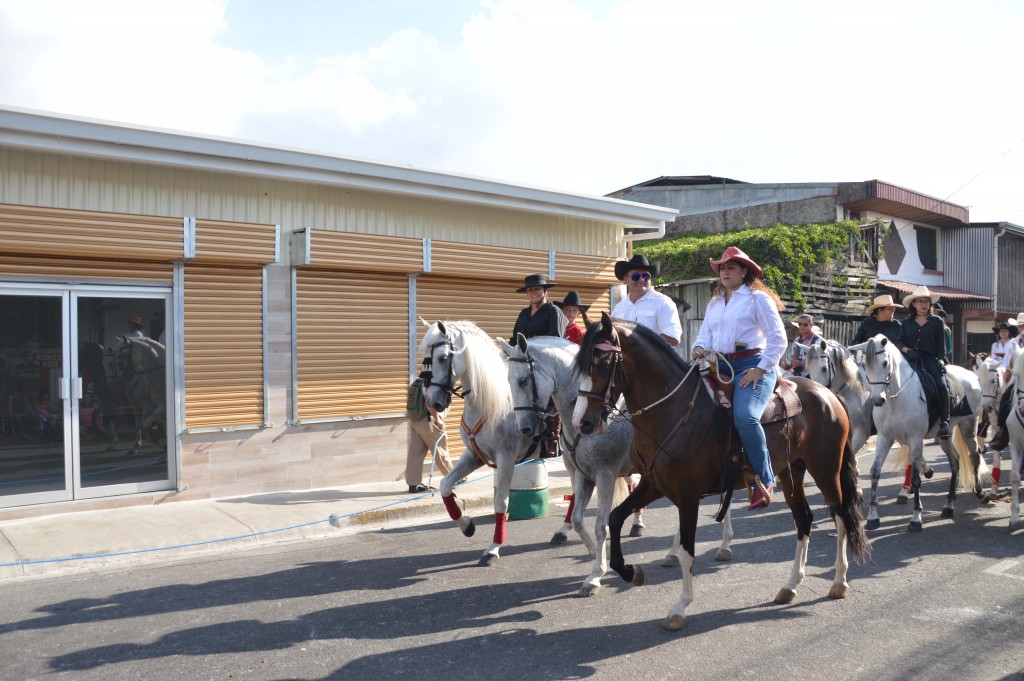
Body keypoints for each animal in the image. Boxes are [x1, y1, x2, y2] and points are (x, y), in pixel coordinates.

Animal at [573, 315, 868, 630]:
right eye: (580, 365)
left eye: (603, 363)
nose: (582, 422)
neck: (675, 411)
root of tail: (829, 394)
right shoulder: (653, 484)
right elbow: (615, 518)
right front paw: (630, 571)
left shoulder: (687, 496)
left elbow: (686, 552)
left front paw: (680, 607)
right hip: (792, 473)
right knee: (804, 519)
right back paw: (790, 586)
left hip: (826, 469)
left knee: (841, 515)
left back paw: (839, 581)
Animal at [843, 333, 987, 532]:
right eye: (866, 365)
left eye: (885, 363)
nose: (877, 400)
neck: (895, 398)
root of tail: (971, 375)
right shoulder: (884, 438)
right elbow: (875, 472)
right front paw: (873, 516)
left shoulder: (915, 440)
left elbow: (917, 477)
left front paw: (916, 518)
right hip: (945, 436)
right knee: (955, 461)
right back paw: (948, 506)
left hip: (968, 427)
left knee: (975, 456)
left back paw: (980, 493)